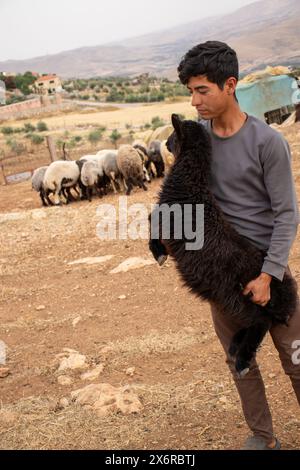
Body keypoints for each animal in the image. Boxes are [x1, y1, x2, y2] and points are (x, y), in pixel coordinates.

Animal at [150, 114, 298, 378]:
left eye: (174, 134)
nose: (165, 143)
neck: (189, 183)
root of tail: (285, 296)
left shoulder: (165, 223)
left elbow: (150, 229)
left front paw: (158, 254)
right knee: (258, 322)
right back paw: (236, 345)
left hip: (235, 295)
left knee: (259, 322)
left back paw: (242, 361)